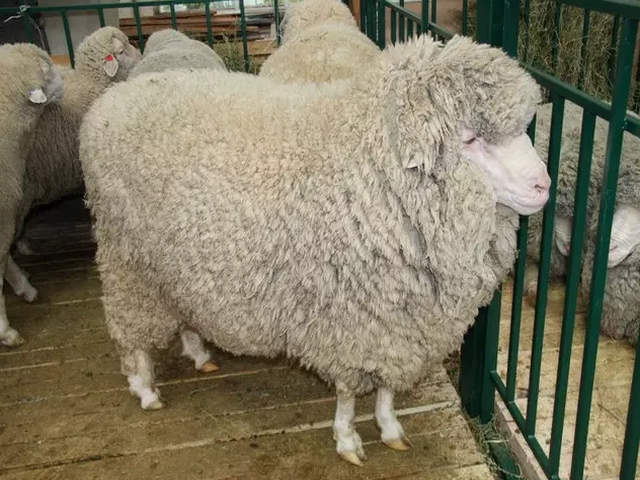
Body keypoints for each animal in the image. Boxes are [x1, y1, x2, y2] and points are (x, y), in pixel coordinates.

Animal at [79, 34, 550, 464]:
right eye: (470, 140)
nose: (542, 186)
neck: (372, 168)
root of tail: (109, 103)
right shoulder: (348, 319)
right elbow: (346, 392)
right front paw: (348, 440)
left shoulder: (396, 323)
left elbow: (386, 386)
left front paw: (390, 427)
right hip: (127, 264)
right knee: (130, 335)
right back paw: (144, 389)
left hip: (173, 267)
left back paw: (198, 354)